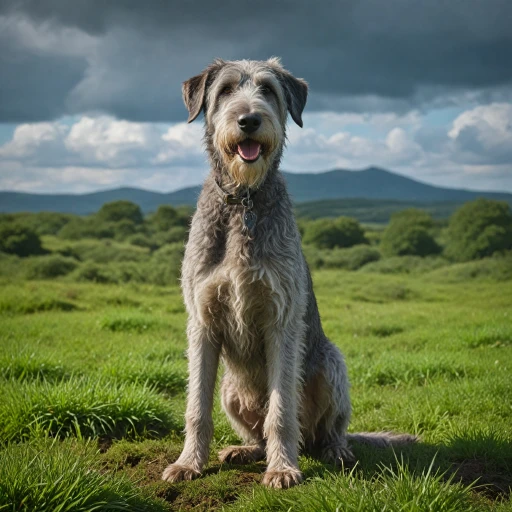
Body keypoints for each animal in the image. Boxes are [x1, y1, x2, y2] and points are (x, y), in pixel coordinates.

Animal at [162, 57, 418, 488]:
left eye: (267, 89)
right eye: (226, 90)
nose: (249, 120)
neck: (244, 201)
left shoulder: (280, 319)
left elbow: (281, 410)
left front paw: (283, 468)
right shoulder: (202, 320)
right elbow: (196, 407)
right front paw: (188, 463)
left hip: (331, 365)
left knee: (327, 427)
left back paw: (334, 450)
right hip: (230, 388)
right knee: (257, 431)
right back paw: (245, 449)